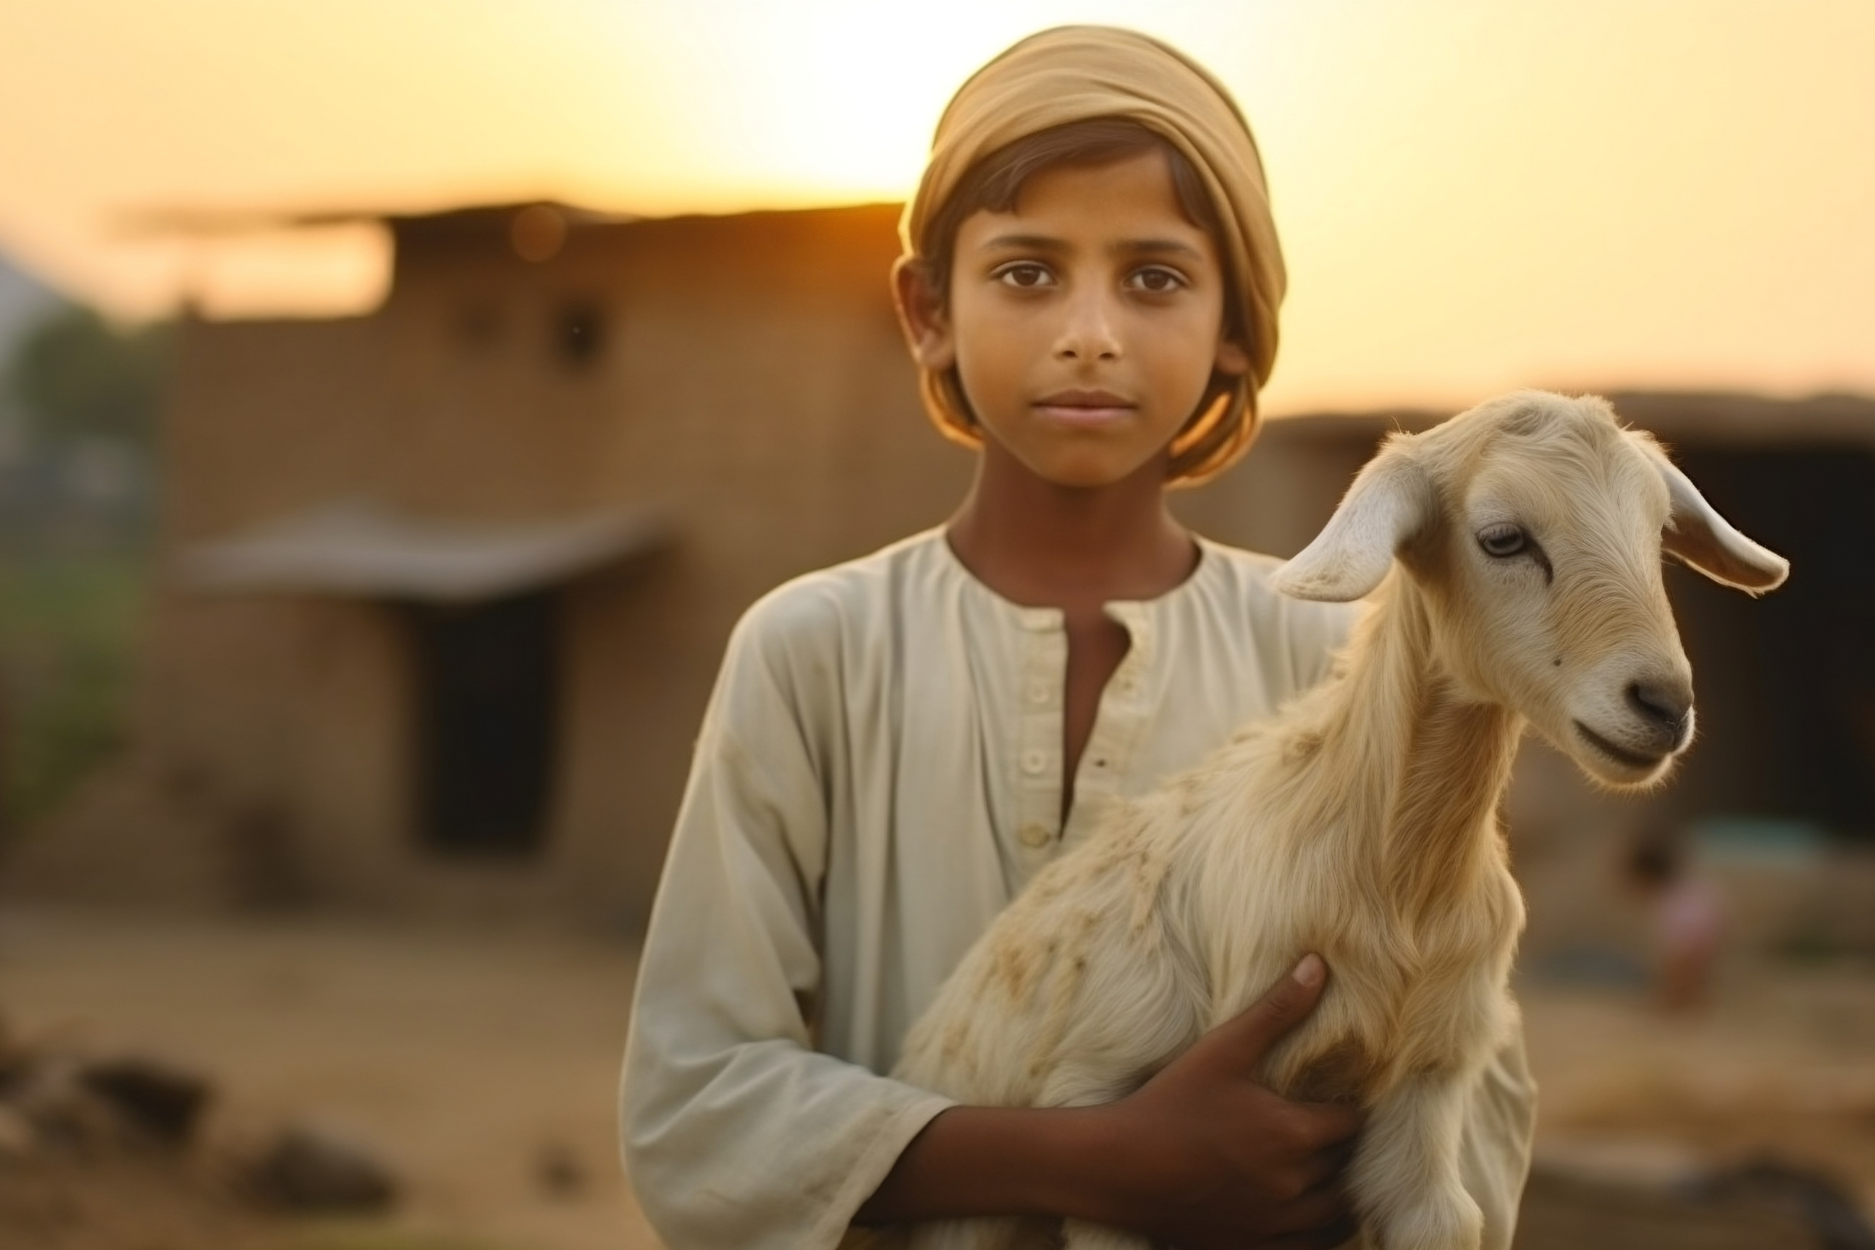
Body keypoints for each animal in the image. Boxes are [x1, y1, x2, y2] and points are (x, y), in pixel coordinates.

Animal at [885, 391, 1789, 1250]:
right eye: (1502, 539)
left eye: (1656, 537)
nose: (1663, 704)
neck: (1394, 883)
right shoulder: (1117, 1116)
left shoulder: (1426, 1096)